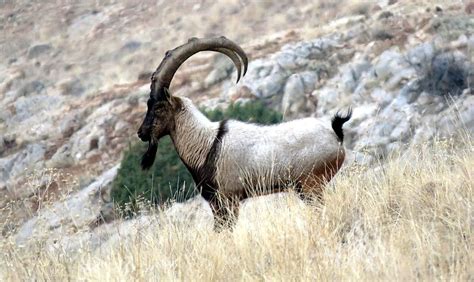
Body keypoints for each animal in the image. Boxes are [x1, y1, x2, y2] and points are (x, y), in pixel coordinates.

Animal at [135, 37, 350, 229]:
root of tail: (335, 136)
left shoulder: (227, 200)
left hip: (311, 185)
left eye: (159, 107)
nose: (141, 133)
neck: (206, 144)